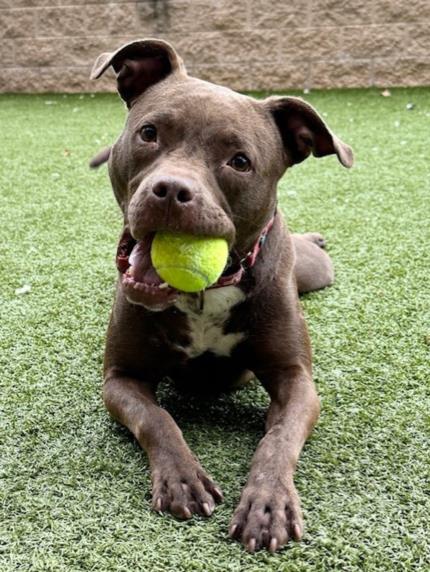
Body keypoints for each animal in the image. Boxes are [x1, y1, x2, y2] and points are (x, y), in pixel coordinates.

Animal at [90, 38, 353, 553]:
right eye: (149, 133)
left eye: (240, 161)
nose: (171, 190)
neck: (205, 293)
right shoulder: (121, 379)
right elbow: (158, 419)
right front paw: (182, 478)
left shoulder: (296, 381)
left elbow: (278, 440)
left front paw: (267, 503)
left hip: (316, 273)